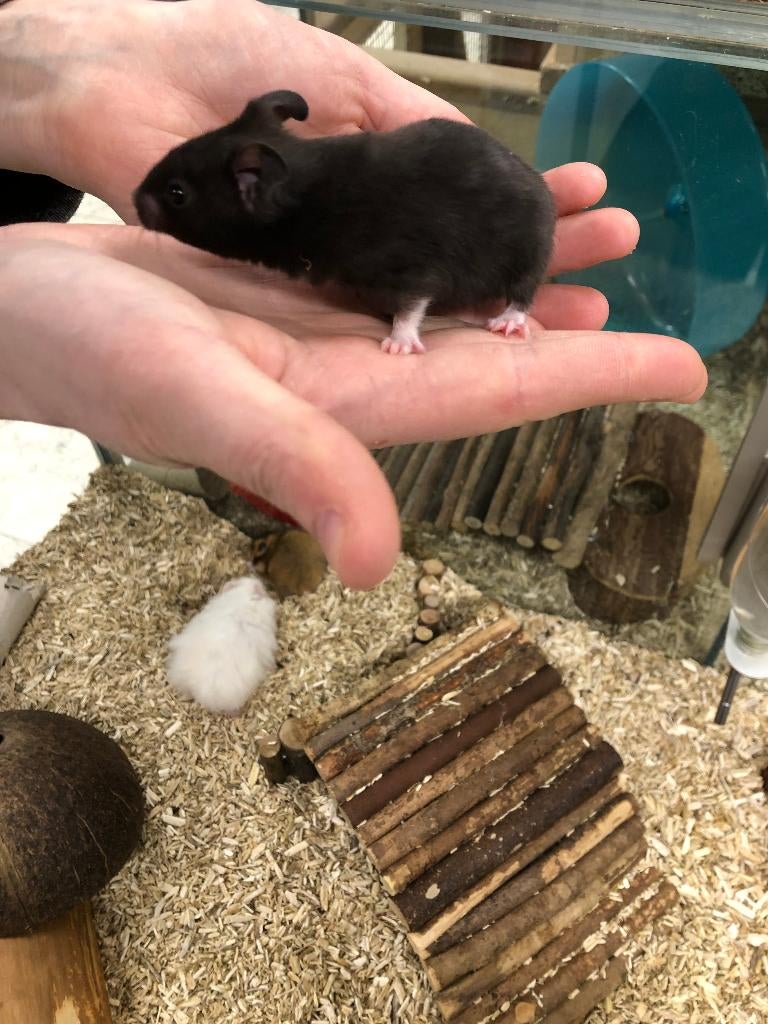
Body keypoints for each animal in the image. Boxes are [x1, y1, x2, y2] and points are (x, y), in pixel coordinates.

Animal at [134, 90, 556, 354]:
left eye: (177, 194)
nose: (135, 198)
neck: (308, 195)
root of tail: (536, 179)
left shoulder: (412, 266)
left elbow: (411, 307)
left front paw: (397, 346)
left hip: (528, 248)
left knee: (523, 290)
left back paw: (506, 322)